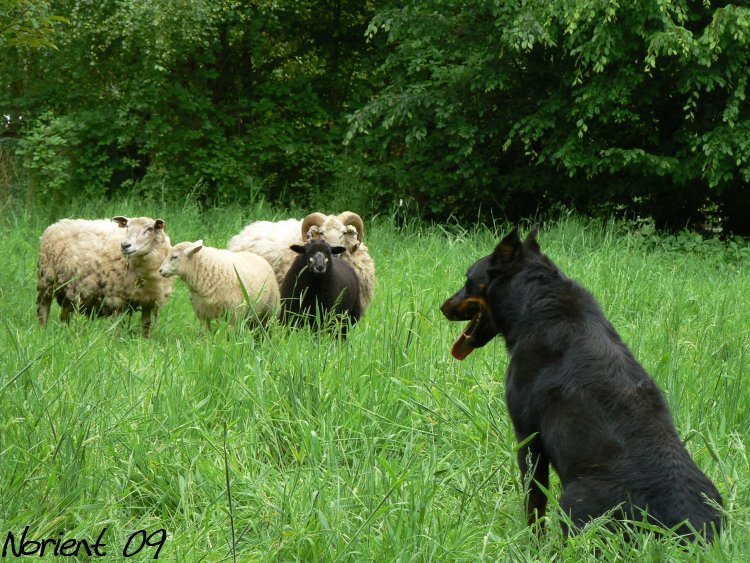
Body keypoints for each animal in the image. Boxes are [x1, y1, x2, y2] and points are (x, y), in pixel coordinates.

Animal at [38, 217, 175, 340]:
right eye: (127, 227)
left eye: (150, 228)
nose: (125, 245)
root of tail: (58, 223)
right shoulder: (117, 298)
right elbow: (118, 325)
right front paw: (115, 342)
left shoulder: (149, 300)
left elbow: (146, 324)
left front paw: (145, 341)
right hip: (46, 279)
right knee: (43, 308)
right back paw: (43, 331)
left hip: (70, 289)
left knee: (65, 314)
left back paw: (65, 331)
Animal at [444, 228, 724, 540]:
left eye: (468, 280)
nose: (443, 306)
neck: (537, 303)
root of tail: (690, 528)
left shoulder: (528, 437)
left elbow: (534, 504)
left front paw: (531, 544)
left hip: (574, 500)